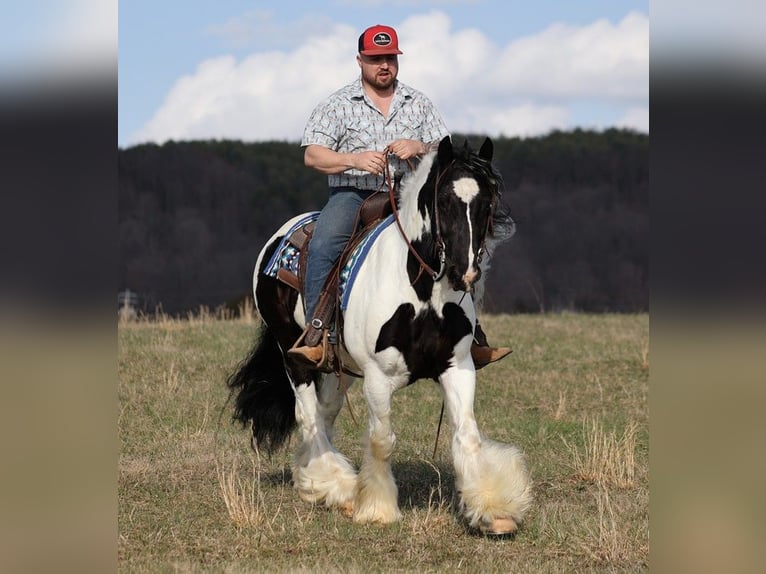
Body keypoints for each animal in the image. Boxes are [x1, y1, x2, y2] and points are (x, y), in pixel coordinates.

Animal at [225, 137, 532, 536]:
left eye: (487, 203)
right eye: (443, 201)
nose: (464, 273)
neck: (421, 290)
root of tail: (277, 239)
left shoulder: (458, 366)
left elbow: (467, 435)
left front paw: (495, 511)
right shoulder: (377, 375)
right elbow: (381, 440)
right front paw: (377, 508)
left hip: (338, 367)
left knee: (325, 414)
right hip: (294, 353)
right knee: (308, 416)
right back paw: (336, 487)